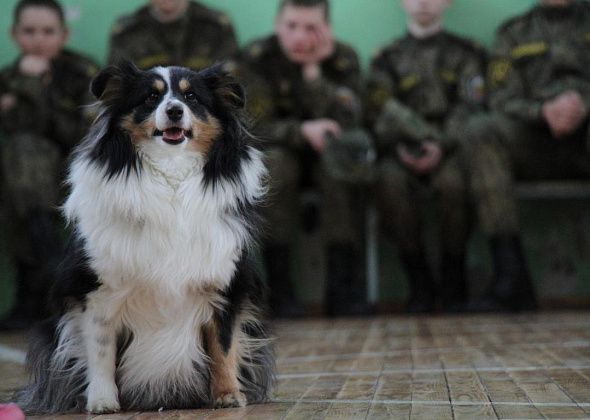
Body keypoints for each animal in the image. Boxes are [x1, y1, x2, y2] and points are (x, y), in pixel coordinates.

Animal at [17, 61, 276, 414]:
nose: (174, 110)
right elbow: (101, 349)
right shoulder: (97, 290)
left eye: (192, 97)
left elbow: (224, 343)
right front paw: (102, 401)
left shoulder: (225, 281)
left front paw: (228, 395)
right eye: (150, 98)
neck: (170, 170)